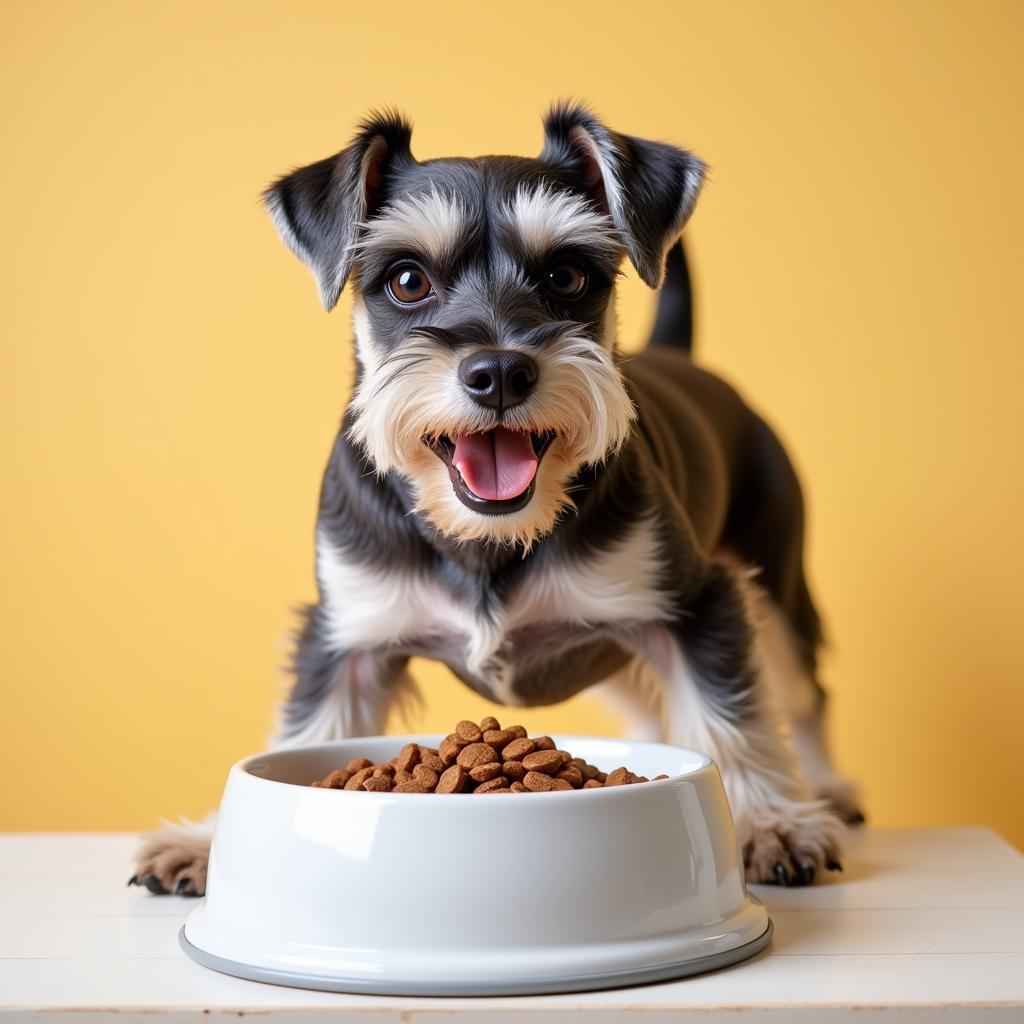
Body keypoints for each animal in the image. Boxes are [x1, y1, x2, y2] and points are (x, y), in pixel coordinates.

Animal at [132, 103, 860, 897]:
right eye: (407, 279)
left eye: (568, 274)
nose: (501, 372)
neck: (482, 538)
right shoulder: (345, 633)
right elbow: (311, 727)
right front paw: (205, 843)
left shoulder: (696, 603)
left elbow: (731, 718)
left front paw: (771, 823)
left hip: (773, 589)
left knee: (804, 694)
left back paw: (829, 792)